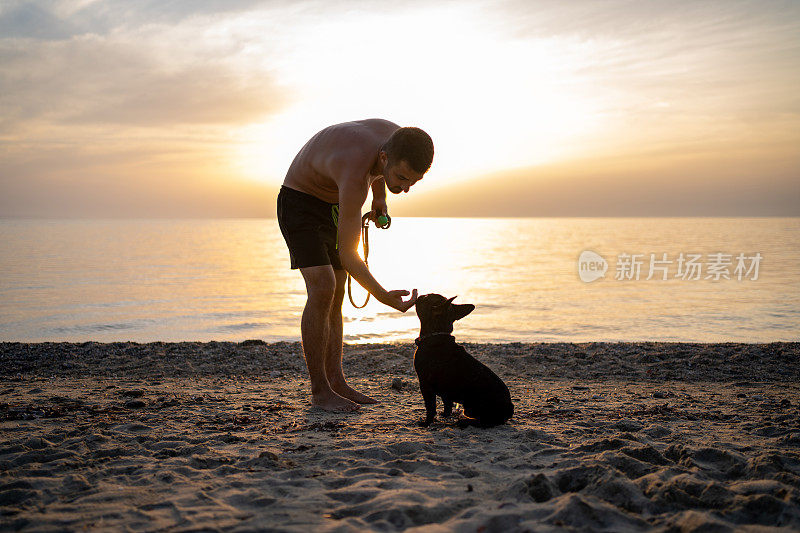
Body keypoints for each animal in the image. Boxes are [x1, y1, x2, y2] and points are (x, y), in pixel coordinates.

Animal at [410, 294, 516, 426]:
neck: (437, 334)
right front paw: (445, 414)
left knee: (484, 422)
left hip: (471, 408)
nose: (420, 295)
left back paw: (464, 422)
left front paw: (426, 423)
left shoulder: (425, 385)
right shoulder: (446, 390)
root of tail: (509, 409)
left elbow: (430, 407)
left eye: (426, 298)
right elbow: (447, 403)